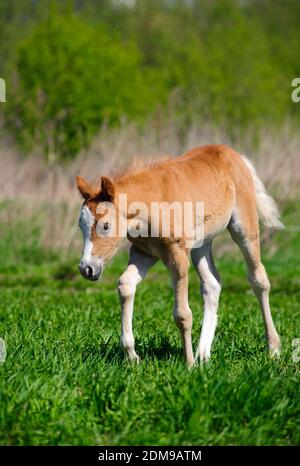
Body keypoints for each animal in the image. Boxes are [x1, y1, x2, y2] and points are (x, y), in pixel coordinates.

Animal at [76, 144, 282, 366]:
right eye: (81, 226)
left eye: (105, 226)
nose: (86, 268)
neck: (153, 204)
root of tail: (235, 155)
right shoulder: (144, 253)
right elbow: (125, 285)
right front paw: (132, 356)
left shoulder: (178, 256)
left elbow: (182, 314)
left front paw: (189, 363)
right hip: (201, 244)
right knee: (212, 284)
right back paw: (203, 354)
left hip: (244, 228)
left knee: (259, 279)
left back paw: (273, 349)